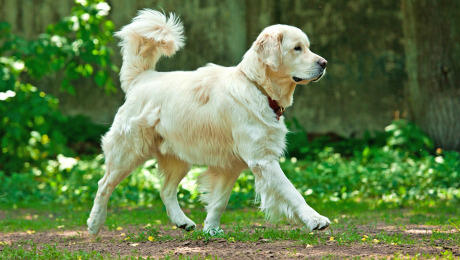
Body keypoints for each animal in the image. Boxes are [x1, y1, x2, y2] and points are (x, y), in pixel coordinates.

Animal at [87, 9, 330, 236]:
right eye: (297, 48)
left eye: (307, 47)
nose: (324, 63)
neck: (257, 87)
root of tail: (141, 78)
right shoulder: (262, 160)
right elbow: (292, 192)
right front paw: (315, 219)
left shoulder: (230, 165)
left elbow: (219, 201)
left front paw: (211, 229)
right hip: (128, 152)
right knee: (103, 185)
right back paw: (94, 223)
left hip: (178, 156)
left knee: (166, 190)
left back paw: (182, 221)